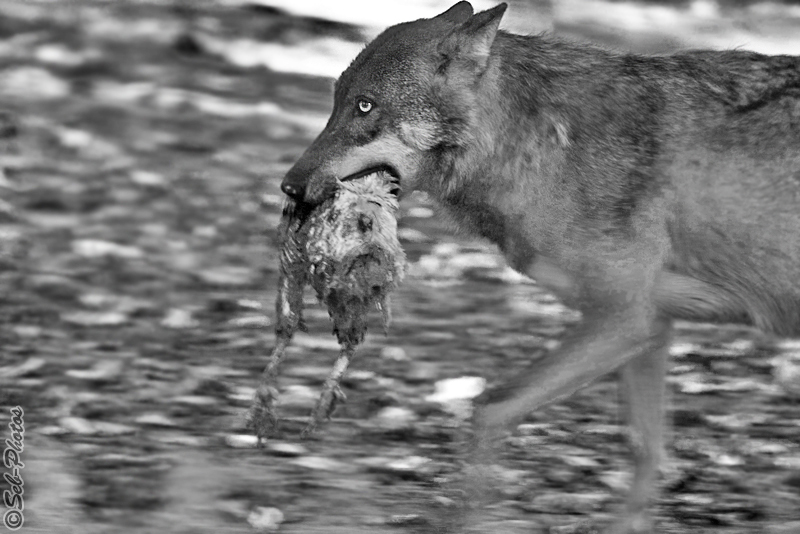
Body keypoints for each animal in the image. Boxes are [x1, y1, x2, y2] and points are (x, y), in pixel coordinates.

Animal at [276, 2, 800, 532]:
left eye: (365, 106)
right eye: (337, 102)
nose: (290, 186)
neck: (542, 144)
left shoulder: (625, 321)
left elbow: (488, 408)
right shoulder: (654, 328)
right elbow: (646, 450)